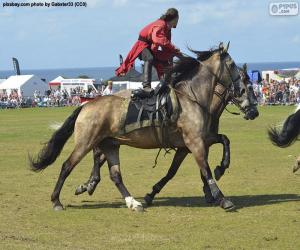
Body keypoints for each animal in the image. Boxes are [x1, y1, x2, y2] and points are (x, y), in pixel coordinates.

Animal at [74, 62, 258, 205]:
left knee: (99, 156)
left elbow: (220, 145)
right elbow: (182, 170)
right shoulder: (193, 144)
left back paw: (89, 184)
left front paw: (213, 184)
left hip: (113, 139)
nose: (254, 112)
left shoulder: (196, 144)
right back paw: (89, 184)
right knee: (97, 154)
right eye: (246, 88)